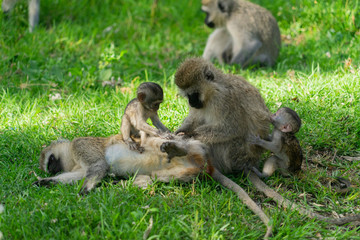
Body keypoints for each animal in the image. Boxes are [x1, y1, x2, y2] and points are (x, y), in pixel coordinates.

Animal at [176, 57, 360, 237]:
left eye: (193, 94)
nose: (192, 103)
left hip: (232, 153)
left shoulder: (225, 100)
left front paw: (188, 136)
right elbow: (195, 119)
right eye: (187, 96)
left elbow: (231, 128)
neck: (213, 91)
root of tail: (247, 163)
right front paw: (180, 131)